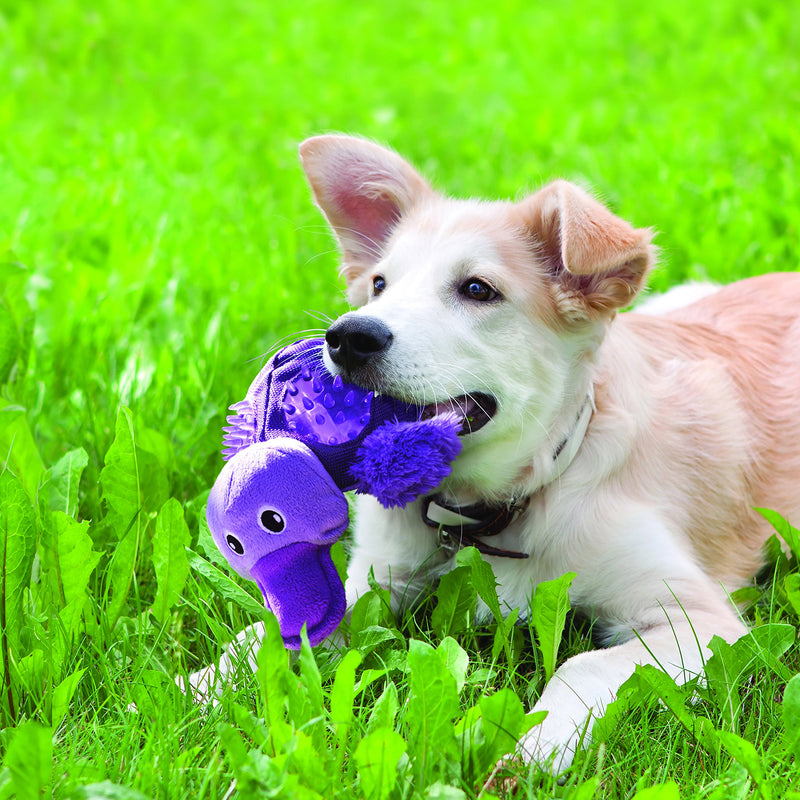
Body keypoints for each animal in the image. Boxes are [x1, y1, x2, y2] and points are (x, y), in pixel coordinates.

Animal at [192, 136, 800, 776]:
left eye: (478, 289)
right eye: (380, 285)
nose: (348, 337)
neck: (498, 506)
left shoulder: (703, 622)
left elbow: (580, 663)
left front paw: (531, 749)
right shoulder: (376, 579)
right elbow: (274, 630)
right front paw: (198, 684)